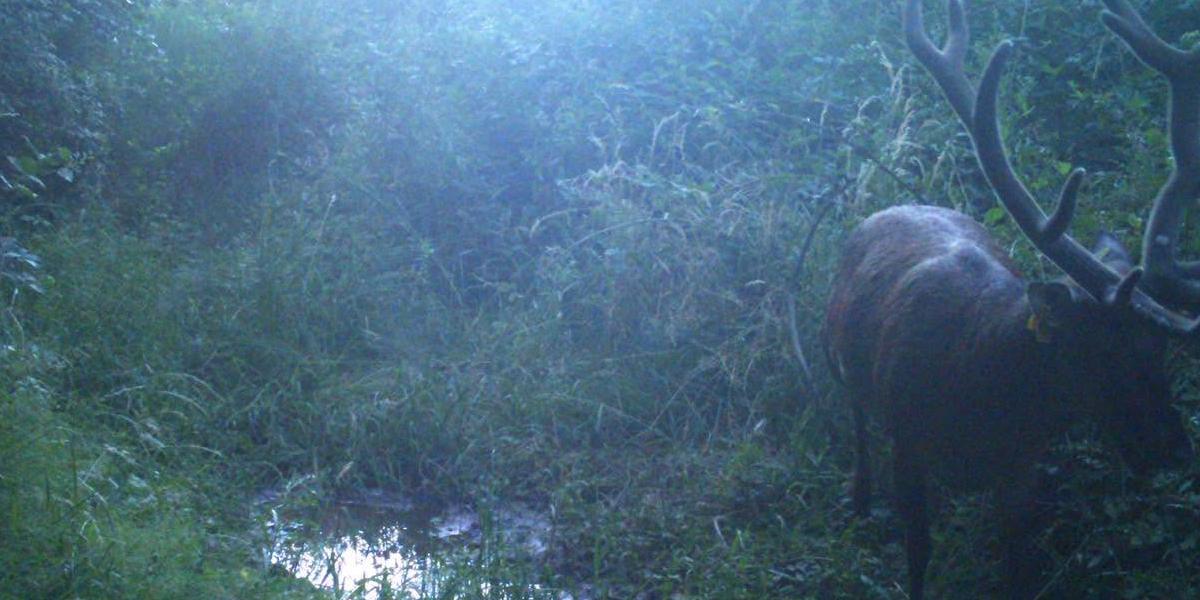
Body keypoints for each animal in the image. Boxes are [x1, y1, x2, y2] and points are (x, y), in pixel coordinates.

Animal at [823, 1, 1196, 597]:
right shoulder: (907, 441)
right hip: (835, 353)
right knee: (855, 417)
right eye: (1101, 352)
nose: (1175, 449)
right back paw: (858, 496)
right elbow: (918, 553)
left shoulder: (1023, 466)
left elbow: (1021, 563)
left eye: (1159, 351)